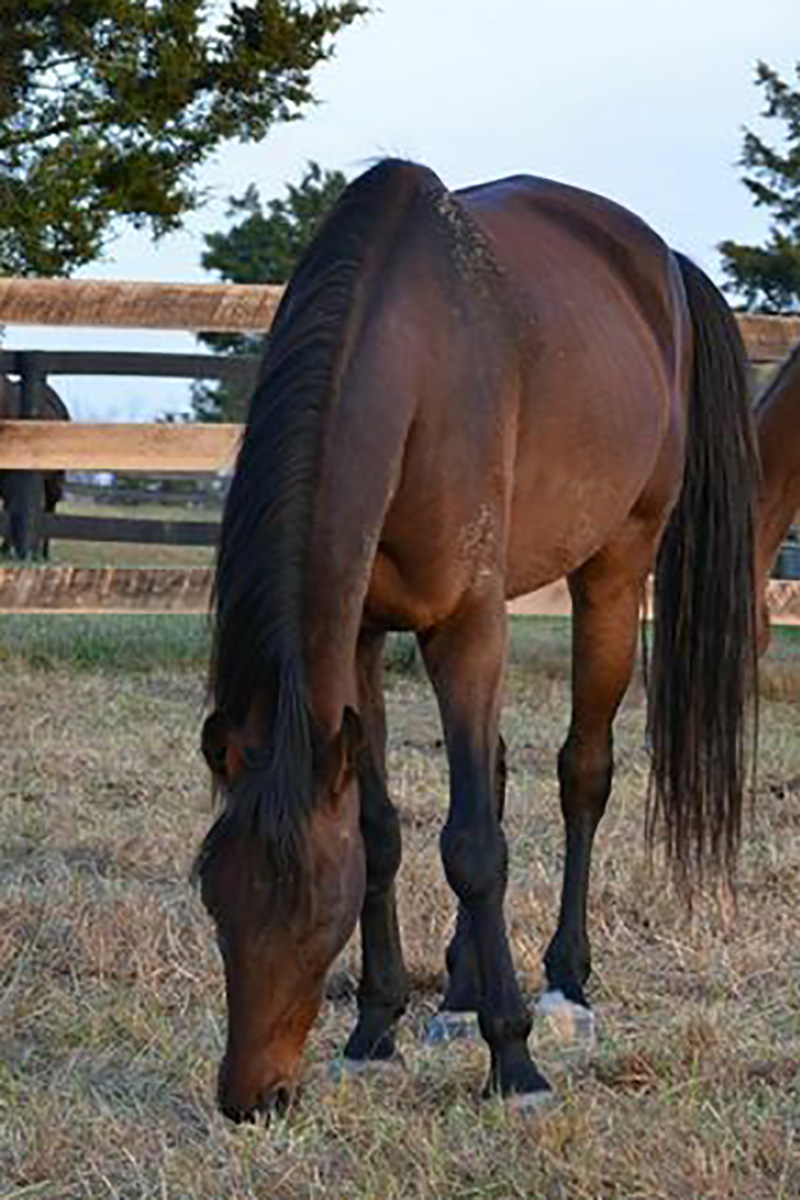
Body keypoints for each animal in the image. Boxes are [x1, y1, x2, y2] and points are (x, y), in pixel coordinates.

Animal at [196, 162, 762, 1123]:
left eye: (313, 912)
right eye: (213, 897)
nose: (252, 1097)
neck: (414, 360)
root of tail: (661, 265)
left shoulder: (467, 628)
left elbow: (472, 846)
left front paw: (515, 1061)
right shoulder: (358, 641)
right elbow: (385, 830)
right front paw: (374, 1029)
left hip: (616, 569)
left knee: (582, 773)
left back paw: (563, 989)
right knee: (492, 771)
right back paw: (459, 995)